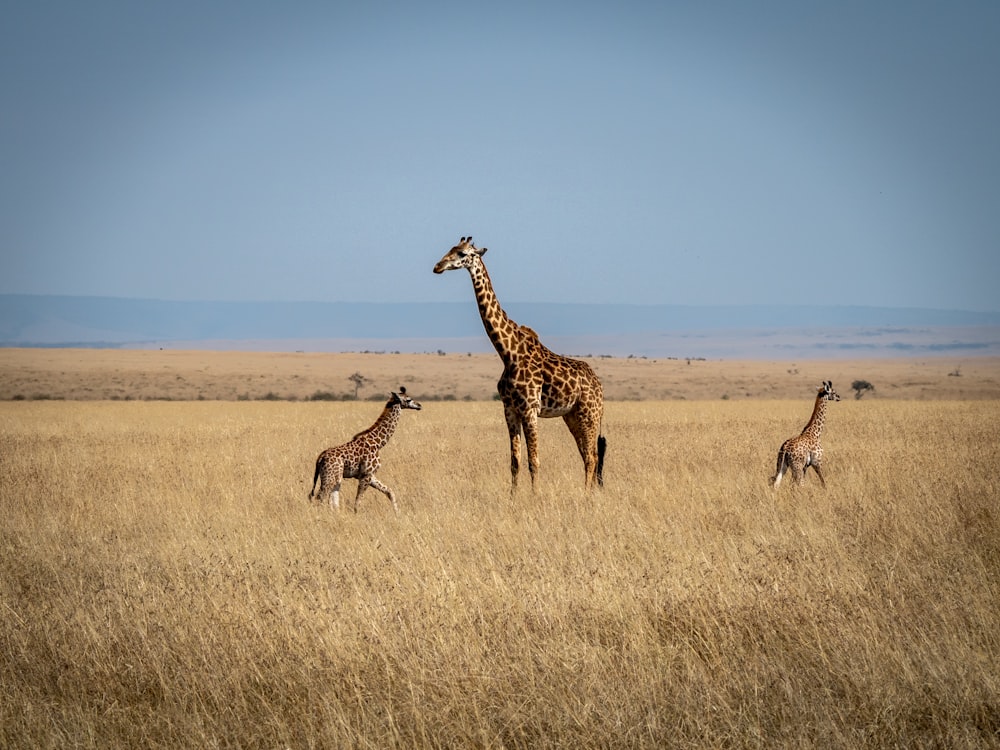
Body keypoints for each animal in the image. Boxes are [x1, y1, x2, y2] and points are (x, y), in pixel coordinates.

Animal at [312, 384, 422, 516]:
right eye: (409, 399)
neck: (379, 443)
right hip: (329, 477)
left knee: (332, 501)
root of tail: (321, 457)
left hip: (335, 477)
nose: (419, 405)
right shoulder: (366, 475)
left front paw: (398, 513)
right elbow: (357, 501)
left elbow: (389, 491)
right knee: (320, 497)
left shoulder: (371, 475)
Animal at [432, 236, 604, 494]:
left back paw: (586, 495)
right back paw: (591, 493)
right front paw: (513, 497)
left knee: (592, 456)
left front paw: (535, 496)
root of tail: (599, 385)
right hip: (572, 416)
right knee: (587, 454)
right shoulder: (510, 409)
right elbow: (515, 461)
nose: (438, 266)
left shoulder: (530, 409)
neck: (508, 352)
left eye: (462, 253)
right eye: (450, 249)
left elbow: (534, 460)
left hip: (589, 414)